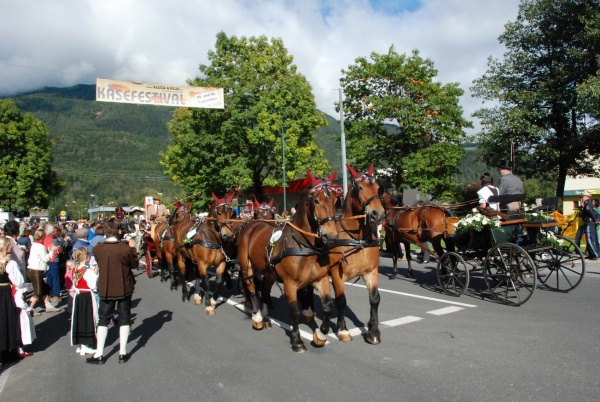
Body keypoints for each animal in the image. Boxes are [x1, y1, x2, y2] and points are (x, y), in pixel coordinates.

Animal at [237, 170, 340, 352]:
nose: (331, 235)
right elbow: (294, 312)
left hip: (268, 273)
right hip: (246, 266)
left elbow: (328, 307)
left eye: (335, 200)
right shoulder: (290, 283)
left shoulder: (320, 279)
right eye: (316, 200)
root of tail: (250, 224)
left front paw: (320, 336)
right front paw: (297, 341)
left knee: (264, 292)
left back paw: (266, 318)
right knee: (251, 288)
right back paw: (257, 318)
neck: (305, 246)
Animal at [310, 164, 384, 346]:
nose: (378, 213)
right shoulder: (337, 273)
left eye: (378, 187)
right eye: (360, 188)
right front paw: (343, 329)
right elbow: (341, 301)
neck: (357, 239)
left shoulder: (371, 271)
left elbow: (374, 299)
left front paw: (373, 331)